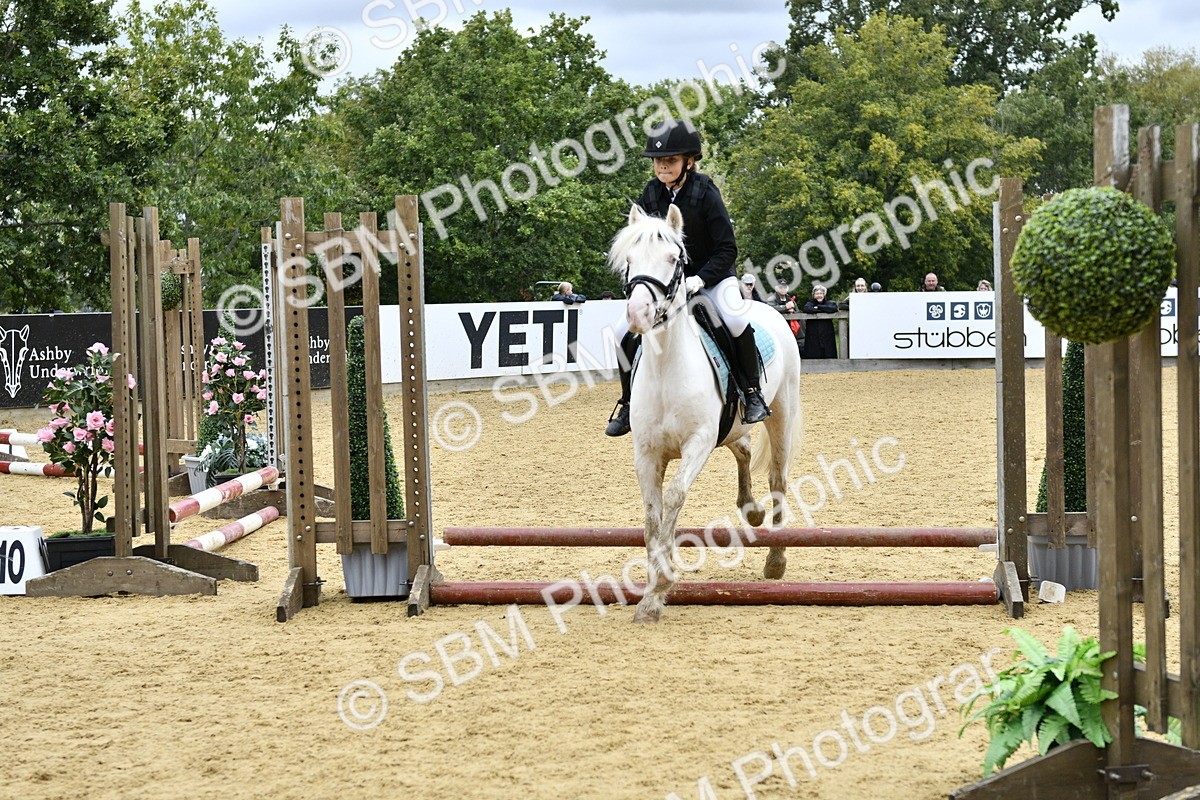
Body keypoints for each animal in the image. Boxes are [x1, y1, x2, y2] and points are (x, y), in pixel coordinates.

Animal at [609, 204, 802, 623]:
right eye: (629, 260)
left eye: (674, 259)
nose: (637, 314)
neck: (666, 368)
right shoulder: (646, 452)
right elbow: (651, 516)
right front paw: (650, 598)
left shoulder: (697, 443)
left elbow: (674, 497)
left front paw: (662, 583)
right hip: (730, 428)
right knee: (742, 448)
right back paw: (751, 510)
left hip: (781, 412)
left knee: (778, 479)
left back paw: (776, 560)